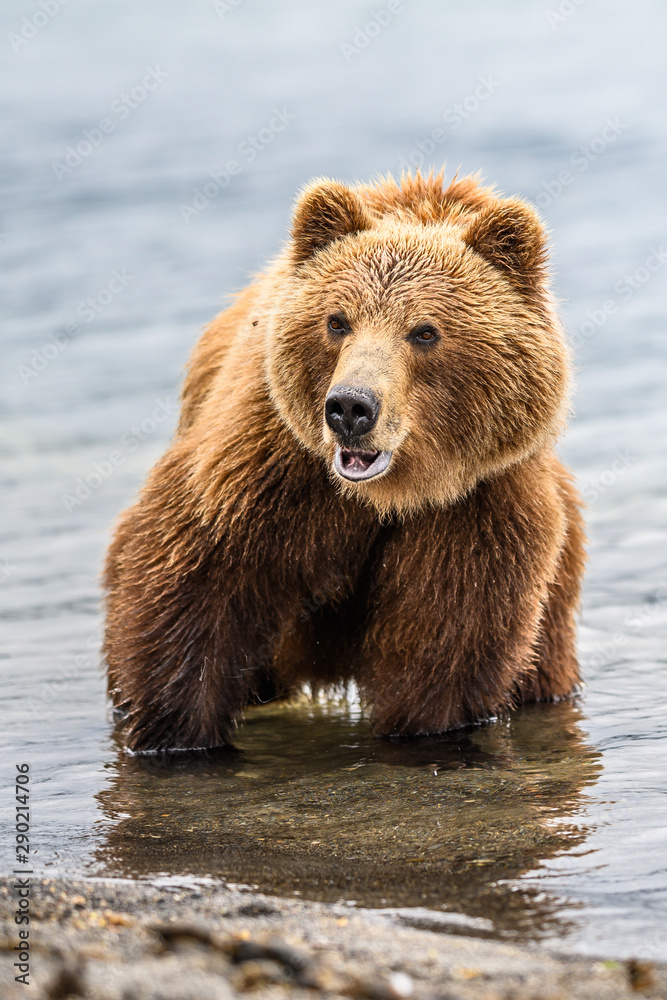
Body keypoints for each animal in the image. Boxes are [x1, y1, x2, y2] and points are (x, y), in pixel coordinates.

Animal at [103, 170, 586, 752]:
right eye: (337, 321)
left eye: (425, 331)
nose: (351, 407)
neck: (389, 492)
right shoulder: (265, 470)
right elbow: (194, 583)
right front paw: (175, 735)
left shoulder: (475, 509)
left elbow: (443, 645)